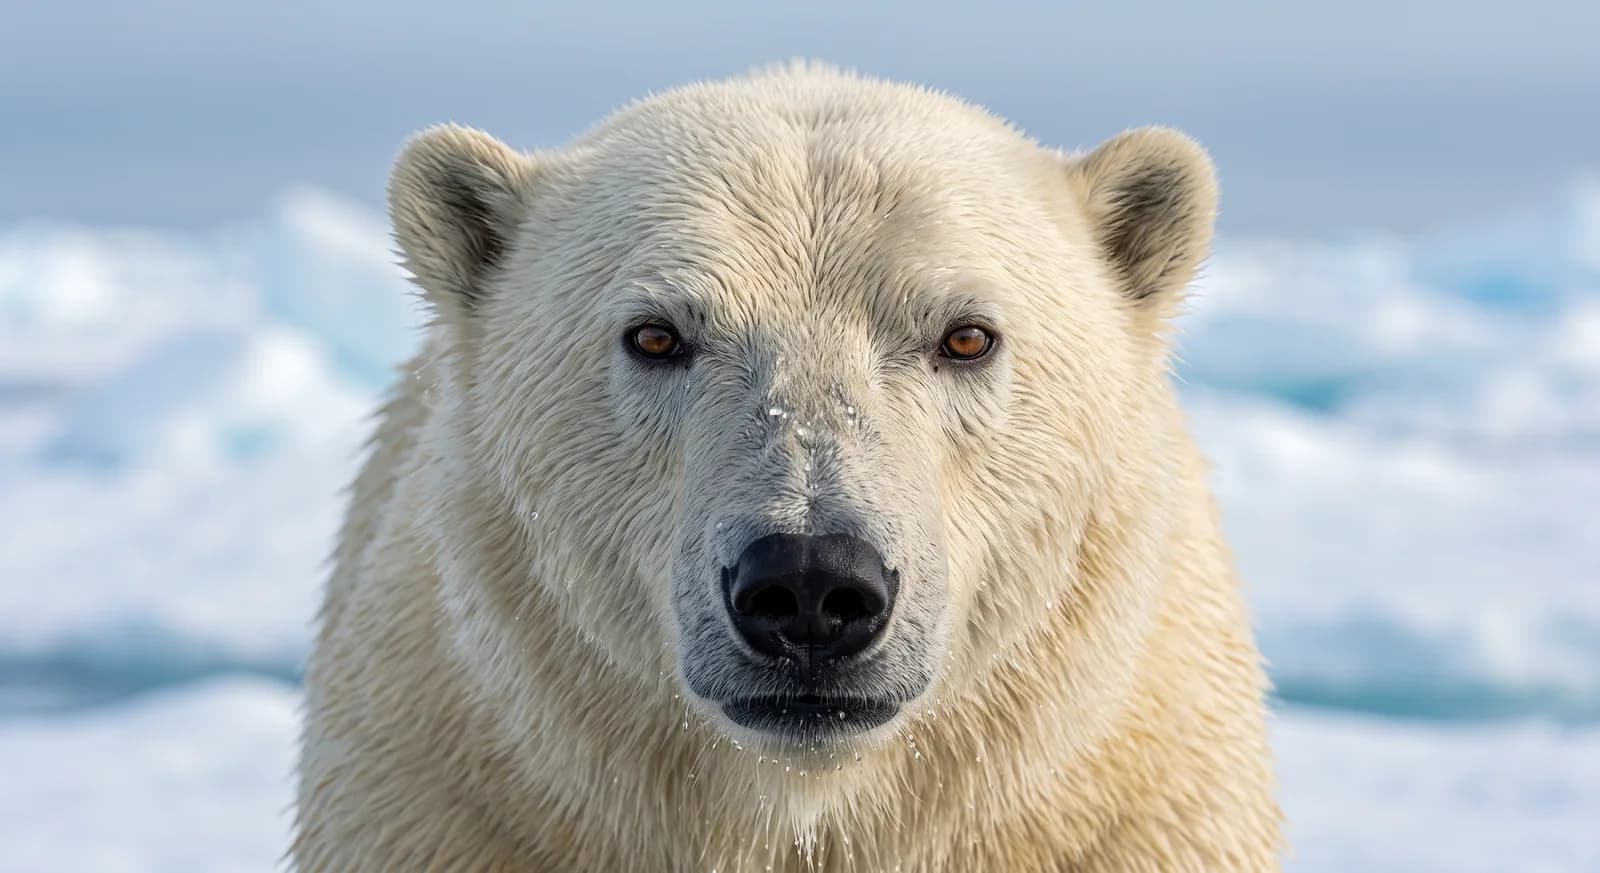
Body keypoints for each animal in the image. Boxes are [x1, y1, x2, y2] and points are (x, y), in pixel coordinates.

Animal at [293, 63, 1282, 872]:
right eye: (656, 334)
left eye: (967, 335)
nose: (810, 584)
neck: (804, 810)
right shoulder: (453, 799)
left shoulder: (1128, 813)